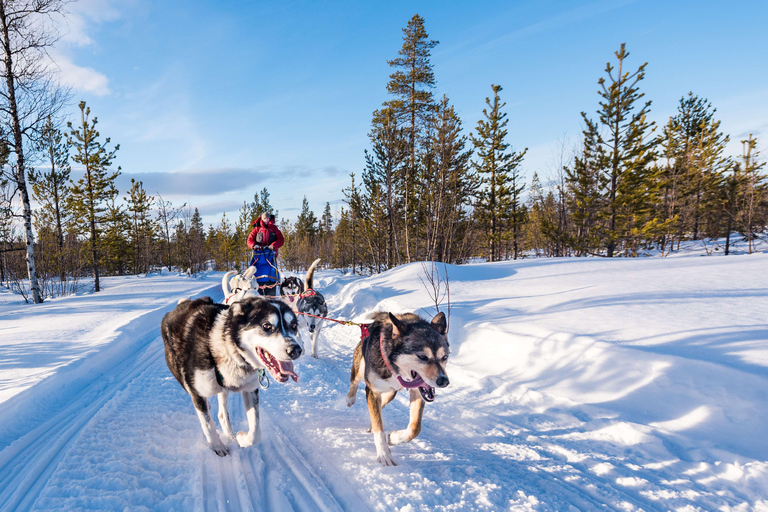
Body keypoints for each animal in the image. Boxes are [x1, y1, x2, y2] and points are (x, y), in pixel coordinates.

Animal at [162, 296, 304, 456]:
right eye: (267, 326)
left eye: (294, 325)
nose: (296, 350)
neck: (230, 351)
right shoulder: (197, 393)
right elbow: (207, 424)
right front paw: (217, 446)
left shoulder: (250, 389)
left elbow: (255, 432)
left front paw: (242, 438)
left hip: (223, 389)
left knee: (222, 414)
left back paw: (230, 435)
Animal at [346, 310, 450, 466]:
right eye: (422, 357)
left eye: (444, 357)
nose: (444, 381)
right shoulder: (373, 391)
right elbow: (379, 428)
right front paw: (384, 454)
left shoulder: (417, 392)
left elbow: (415, 428)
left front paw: (395, 438)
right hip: (360, 370)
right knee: (354, 382)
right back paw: (350, 398)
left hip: (391, 393)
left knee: (381, 405)